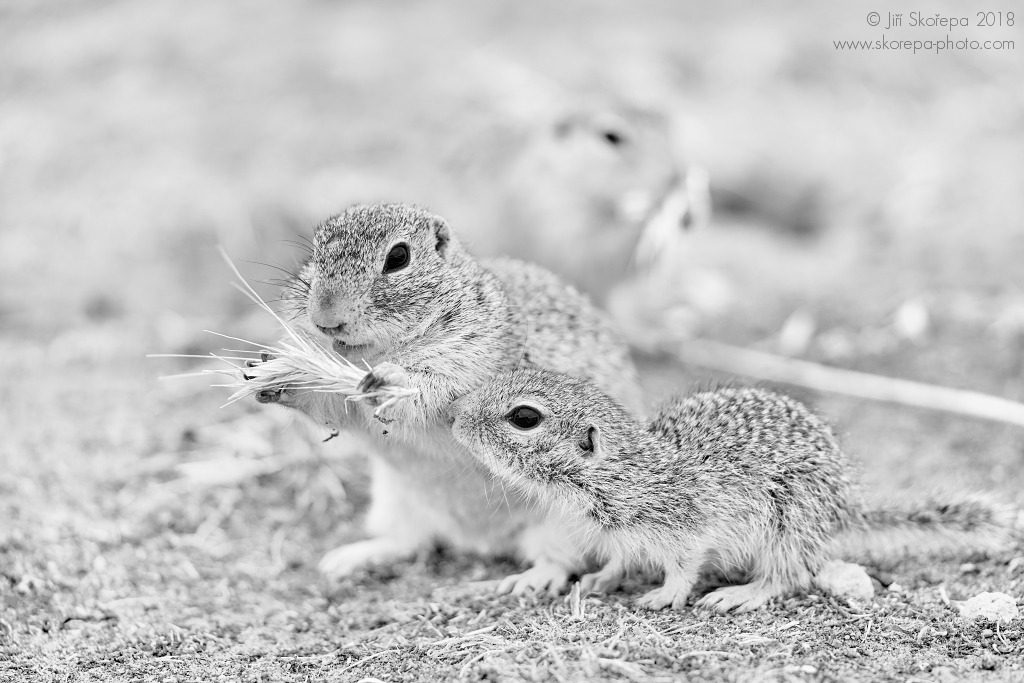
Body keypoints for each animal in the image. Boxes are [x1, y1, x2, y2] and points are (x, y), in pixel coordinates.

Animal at [251, 201, 643, 593]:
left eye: (398, 257)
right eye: (316, 251)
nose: (324, 318)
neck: (374, 353)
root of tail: (481, 541)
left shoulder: (475, 359)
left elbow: (435, 394)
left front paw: (391, 380)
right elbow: (333, 407)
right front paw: (275, 374)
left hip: (571, 524)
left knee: (561, 561)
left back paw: (531, 579)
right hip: (394, 505)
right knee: (406, 542)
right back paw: (352, 557)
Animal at [450, 370, 1015, 610]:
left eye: (524, 417)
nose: (454, 420)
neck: (623, 472)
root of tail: (846, 505)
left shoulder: (685, 528)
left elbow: (683, 568)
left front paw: (665, 595)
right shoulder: (620, 538)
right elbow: (620, 560)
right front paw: (597, 580)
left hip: (789, 523)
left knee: (788, 577)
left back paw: (738, 595)